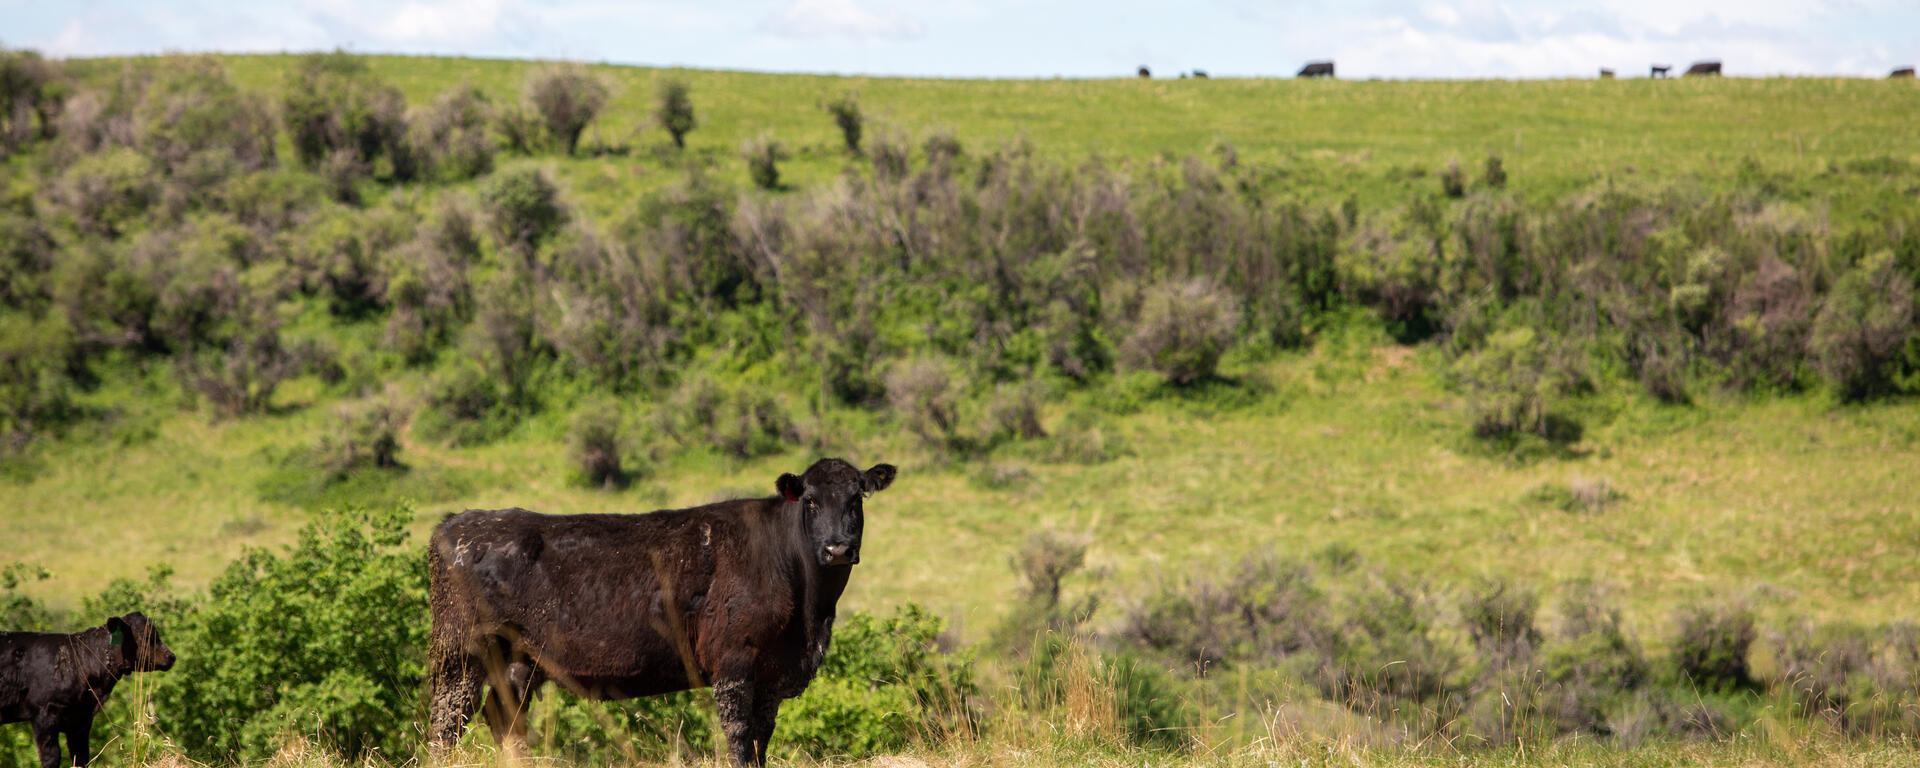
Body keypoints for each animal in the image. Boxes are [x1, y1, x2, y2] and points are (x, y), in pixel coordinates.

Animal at [1, 614, 176, 768]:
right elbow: (52, 757)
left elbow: (81, 756)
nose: (172, 657)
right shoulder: (44, 714)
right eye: (147, 636)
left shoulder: (81, 719)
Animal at [426, 458, 897, 766]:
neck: (810, 617)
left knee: (505, 719)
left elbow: (762, 738)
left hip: (519, 664)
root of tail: (457, 522)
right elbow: (740, 736)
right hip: (462, 654)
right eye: (811, 501)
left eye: (857, 499)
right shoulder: (734, 661)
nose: (837, 549)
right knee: (447, 722)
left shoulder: (774, 672)